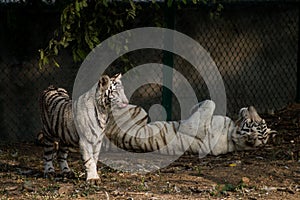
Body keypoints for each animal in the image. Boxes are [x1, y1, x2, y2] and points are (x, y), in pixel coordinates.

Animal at [104, 100, 276, 156]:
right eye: (259, 119)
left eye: (254, 120)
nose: (251, 106)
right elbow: (207, 104)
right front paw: (194, 107)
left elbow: (209, 104)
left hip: (139, 111)